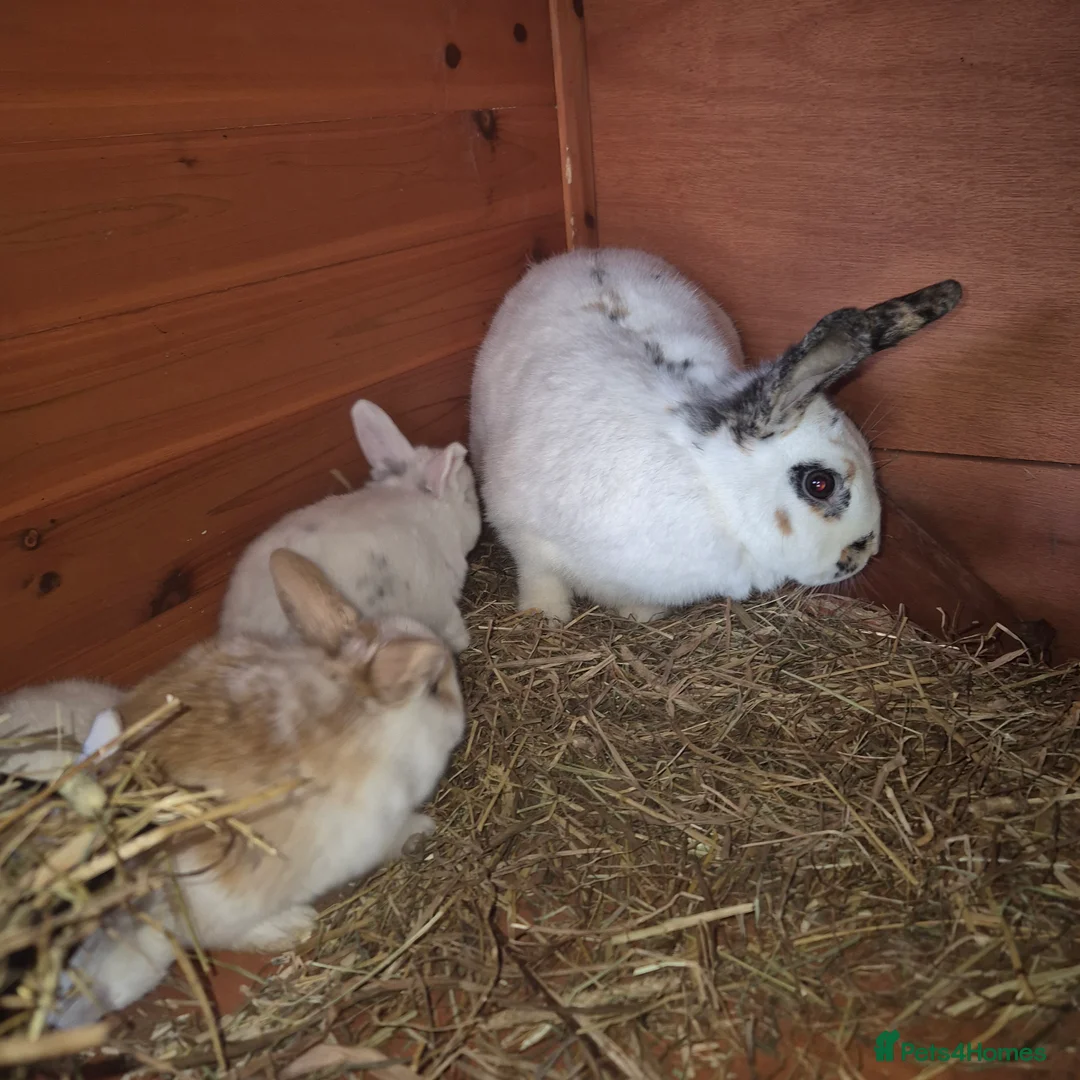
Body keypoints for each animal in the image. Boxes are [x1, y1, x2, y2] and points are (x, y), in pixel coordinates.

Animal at [469, 248, 962, 623]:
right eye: (819, 484)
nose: (867, 550)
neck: (711, 489)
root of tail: (586, 253)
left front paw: (641, 617)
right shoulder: (522, 532)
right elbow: (541, 579)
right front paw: (544, 619)